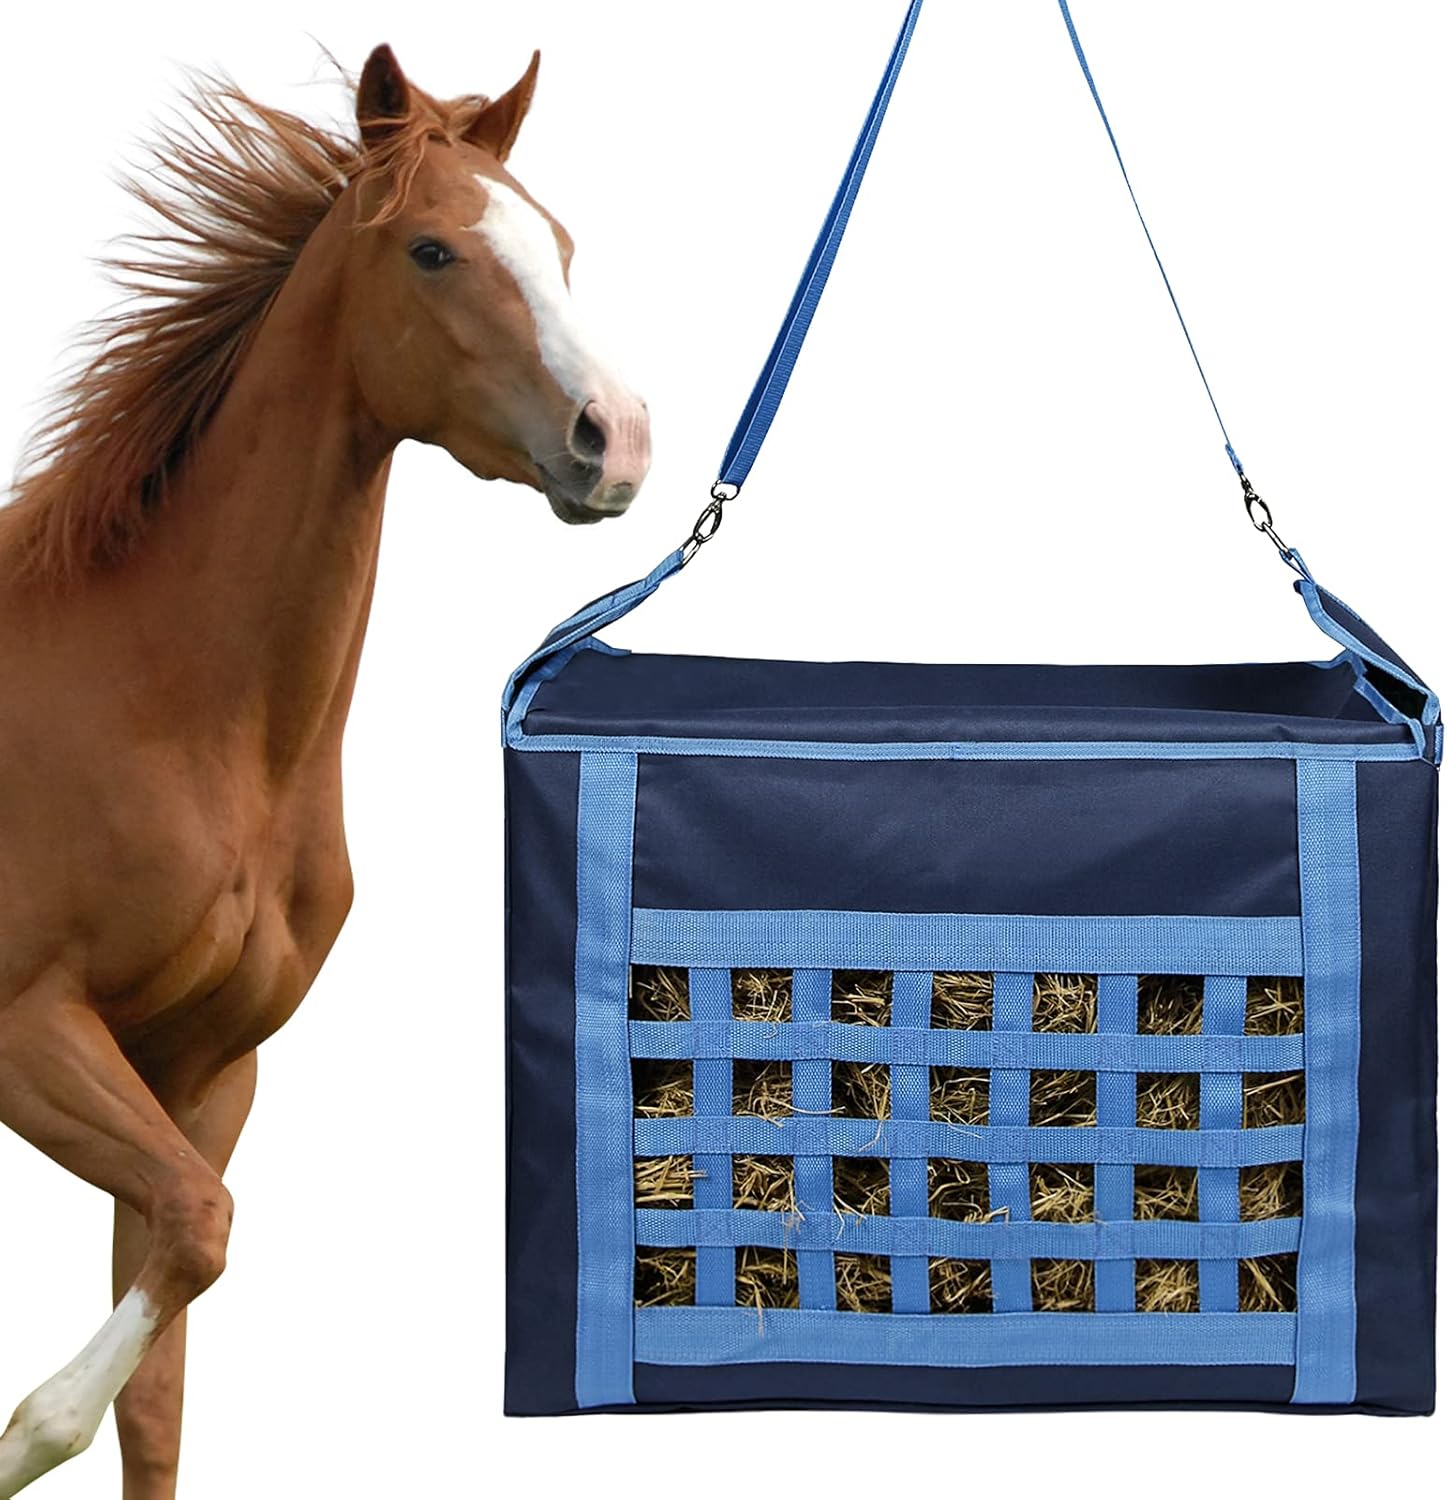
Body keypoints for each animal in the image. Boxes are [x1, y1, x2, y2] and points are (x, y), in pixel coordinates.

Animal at [0, 43, 649, 1498]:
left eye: (564, 246)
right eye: (431, 249)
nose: (617, 437)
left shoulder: (202, 1074)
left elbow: (168, 1358)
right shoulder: (25, 1025)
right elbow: (193, 1237)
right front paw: (19, 1433)